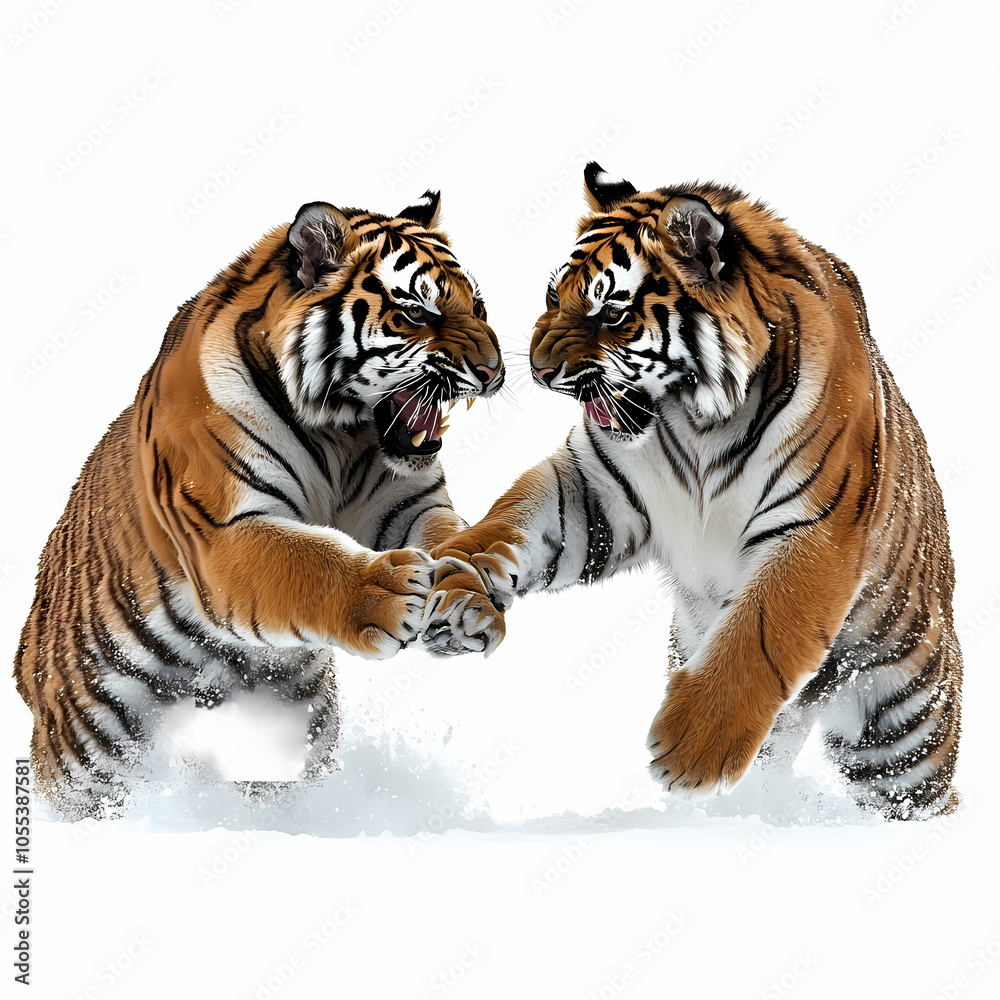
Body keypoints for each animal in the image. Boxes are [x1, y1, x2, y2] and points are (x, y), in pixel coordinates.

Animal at [14, 192, 504, 817]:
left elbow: (456, 540)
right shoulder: (223, 529)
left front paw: (470, 604)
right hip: (85, 762)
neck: (342, 434)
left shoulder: (407, 505)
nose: (494, 372)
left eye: (479, 306)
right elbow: (307, 561)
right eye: (419, 313)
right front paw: (388, 592)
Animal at [422, 162, 963, 820]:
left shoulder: (815, 530)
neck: (701, 421)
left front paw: (691, 749)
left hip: (899, 731)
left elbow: (759, 630)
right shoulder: (597, 492)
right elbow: (509, 522)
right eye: (554, 297)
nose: (539, 373)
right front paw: (455, 590)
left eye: (611, 314)